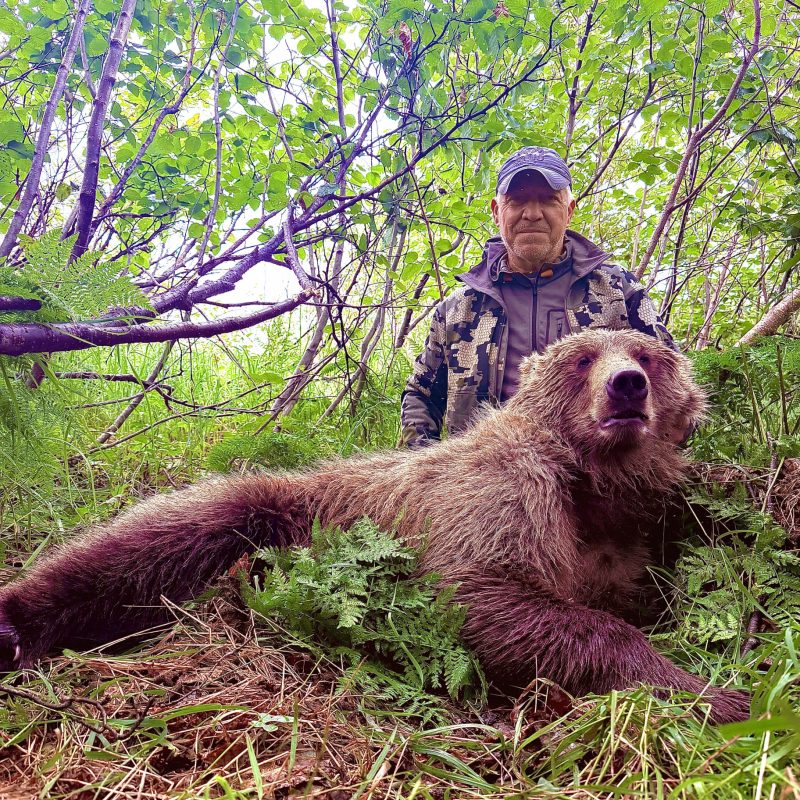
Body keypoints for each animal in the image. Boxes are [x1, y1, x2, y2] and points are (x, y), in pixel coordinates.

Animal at [0, 329, 750, 723]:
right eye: (582, 359)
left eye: (649, 357)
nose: (627, 386)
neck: (589, 485)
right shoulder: (503, 491)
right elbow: (480, 595)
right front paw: (714, 692)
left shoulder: (641, 527)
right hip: (276, 505)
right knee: (149, 541)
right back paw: (15, 624)